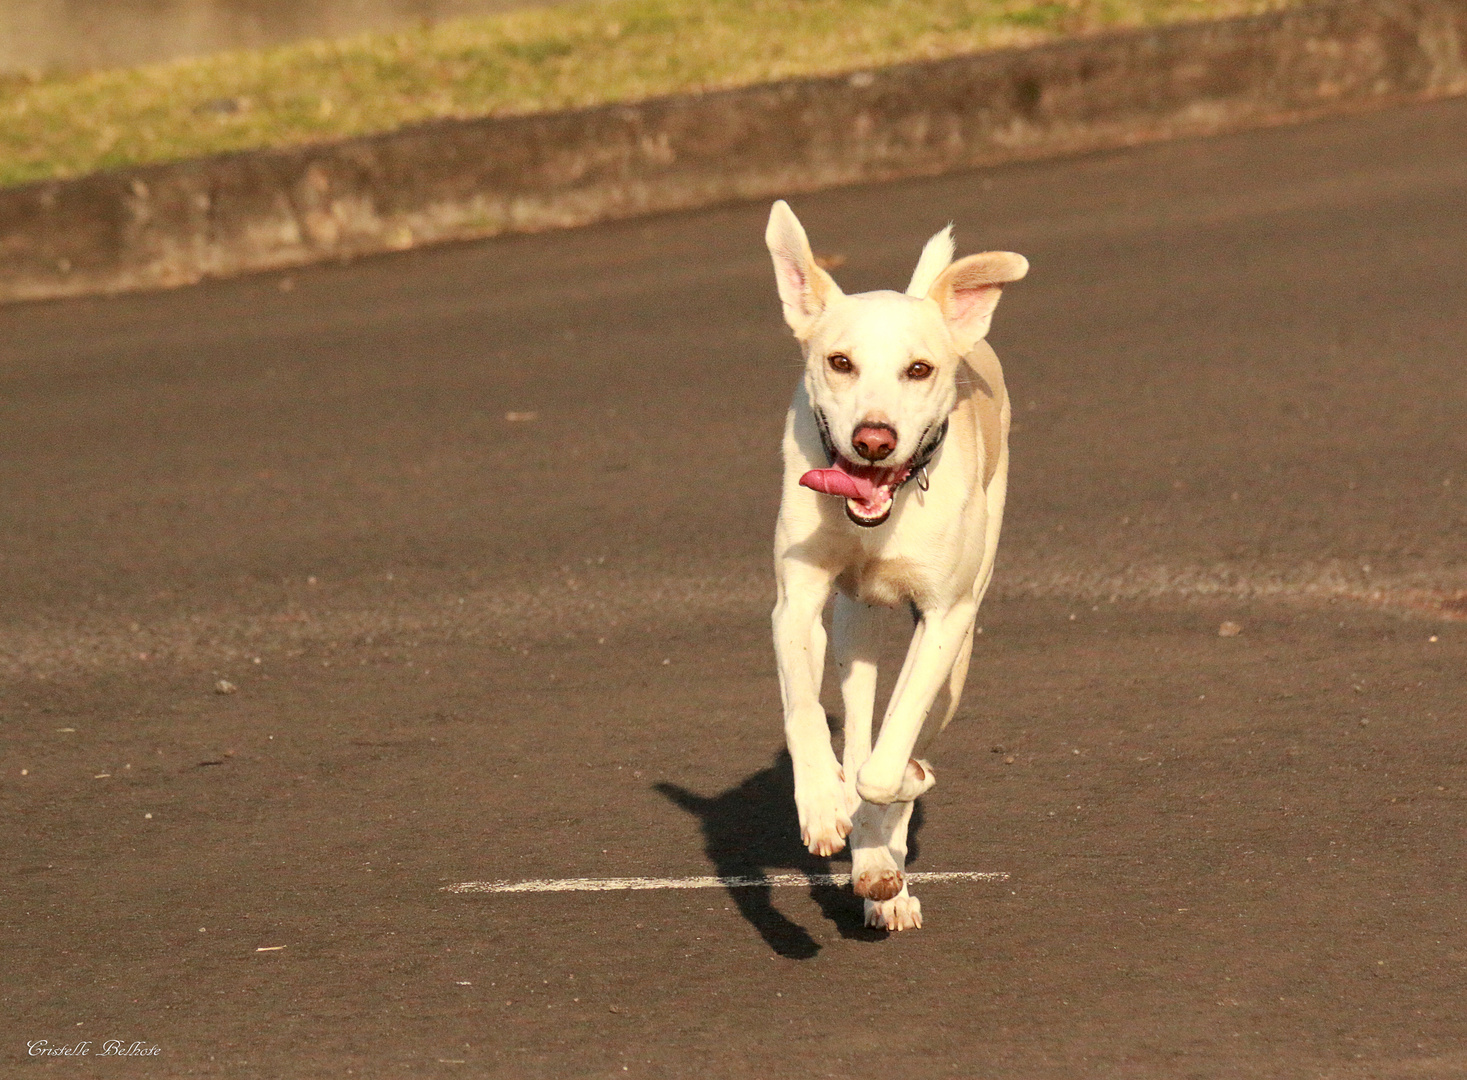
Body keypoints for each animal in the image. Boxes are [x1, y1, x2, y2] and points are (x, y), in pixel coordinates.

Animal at [762, 201, 1026, 927]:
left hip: (960, 647)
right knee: (856, 723)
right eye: (840, 362)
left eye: (919, 370)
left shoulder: (944, 619)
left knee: (899, 738)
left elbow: (886, 766)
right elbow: (806, 714)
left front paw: (893, 800)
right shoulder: (796, 601)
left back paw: (886, 864)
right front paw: (823, 806)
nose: (873, 439)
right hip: (855, 625)